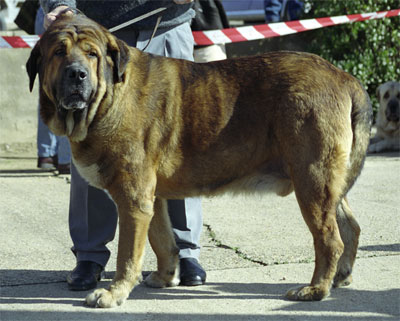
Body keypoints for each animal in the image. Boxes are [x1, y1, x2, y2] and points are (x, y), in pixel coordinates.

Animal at [26, 13, 372, 306]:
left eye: (92, 54)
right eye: (58, 52)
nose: (77, 74)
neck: (108, 98)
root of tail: (344, 77)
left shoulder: (133, 198)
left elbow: (127, 252)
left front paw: (114, 293)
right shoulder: (152, 198)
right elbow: (161, 238)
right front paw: (164, 277)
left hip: (312, 179)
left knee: (330, 239)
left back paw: (315, 289)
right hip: (326, 184)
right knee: (350, 227)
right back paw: (340, 277)